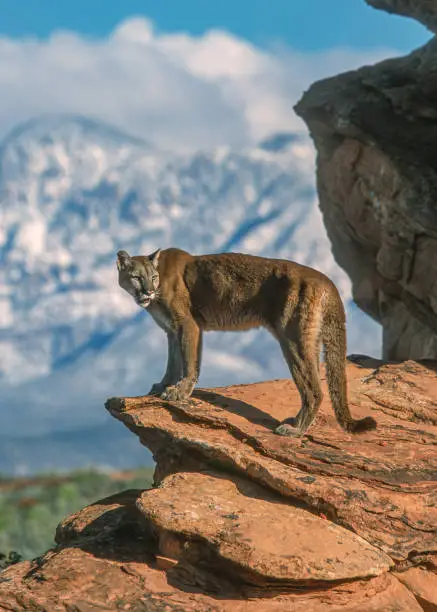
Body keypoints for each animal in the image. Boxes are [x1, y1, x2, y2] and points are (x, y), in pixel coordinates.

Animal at [117, 246, 376, 438]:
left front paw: (179, 392)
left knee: (313, 389)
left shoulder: (188, 324)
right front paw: (163, 385)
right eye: (137, 277)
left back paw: (294, 430)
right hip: (308, 339)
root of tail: (326, 279)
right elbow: (172, 362)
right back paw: (295, 423)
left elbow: (189, 361)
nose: (148, 291)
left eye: (153, 277)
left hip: (292, 338)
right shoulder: (171, 331)